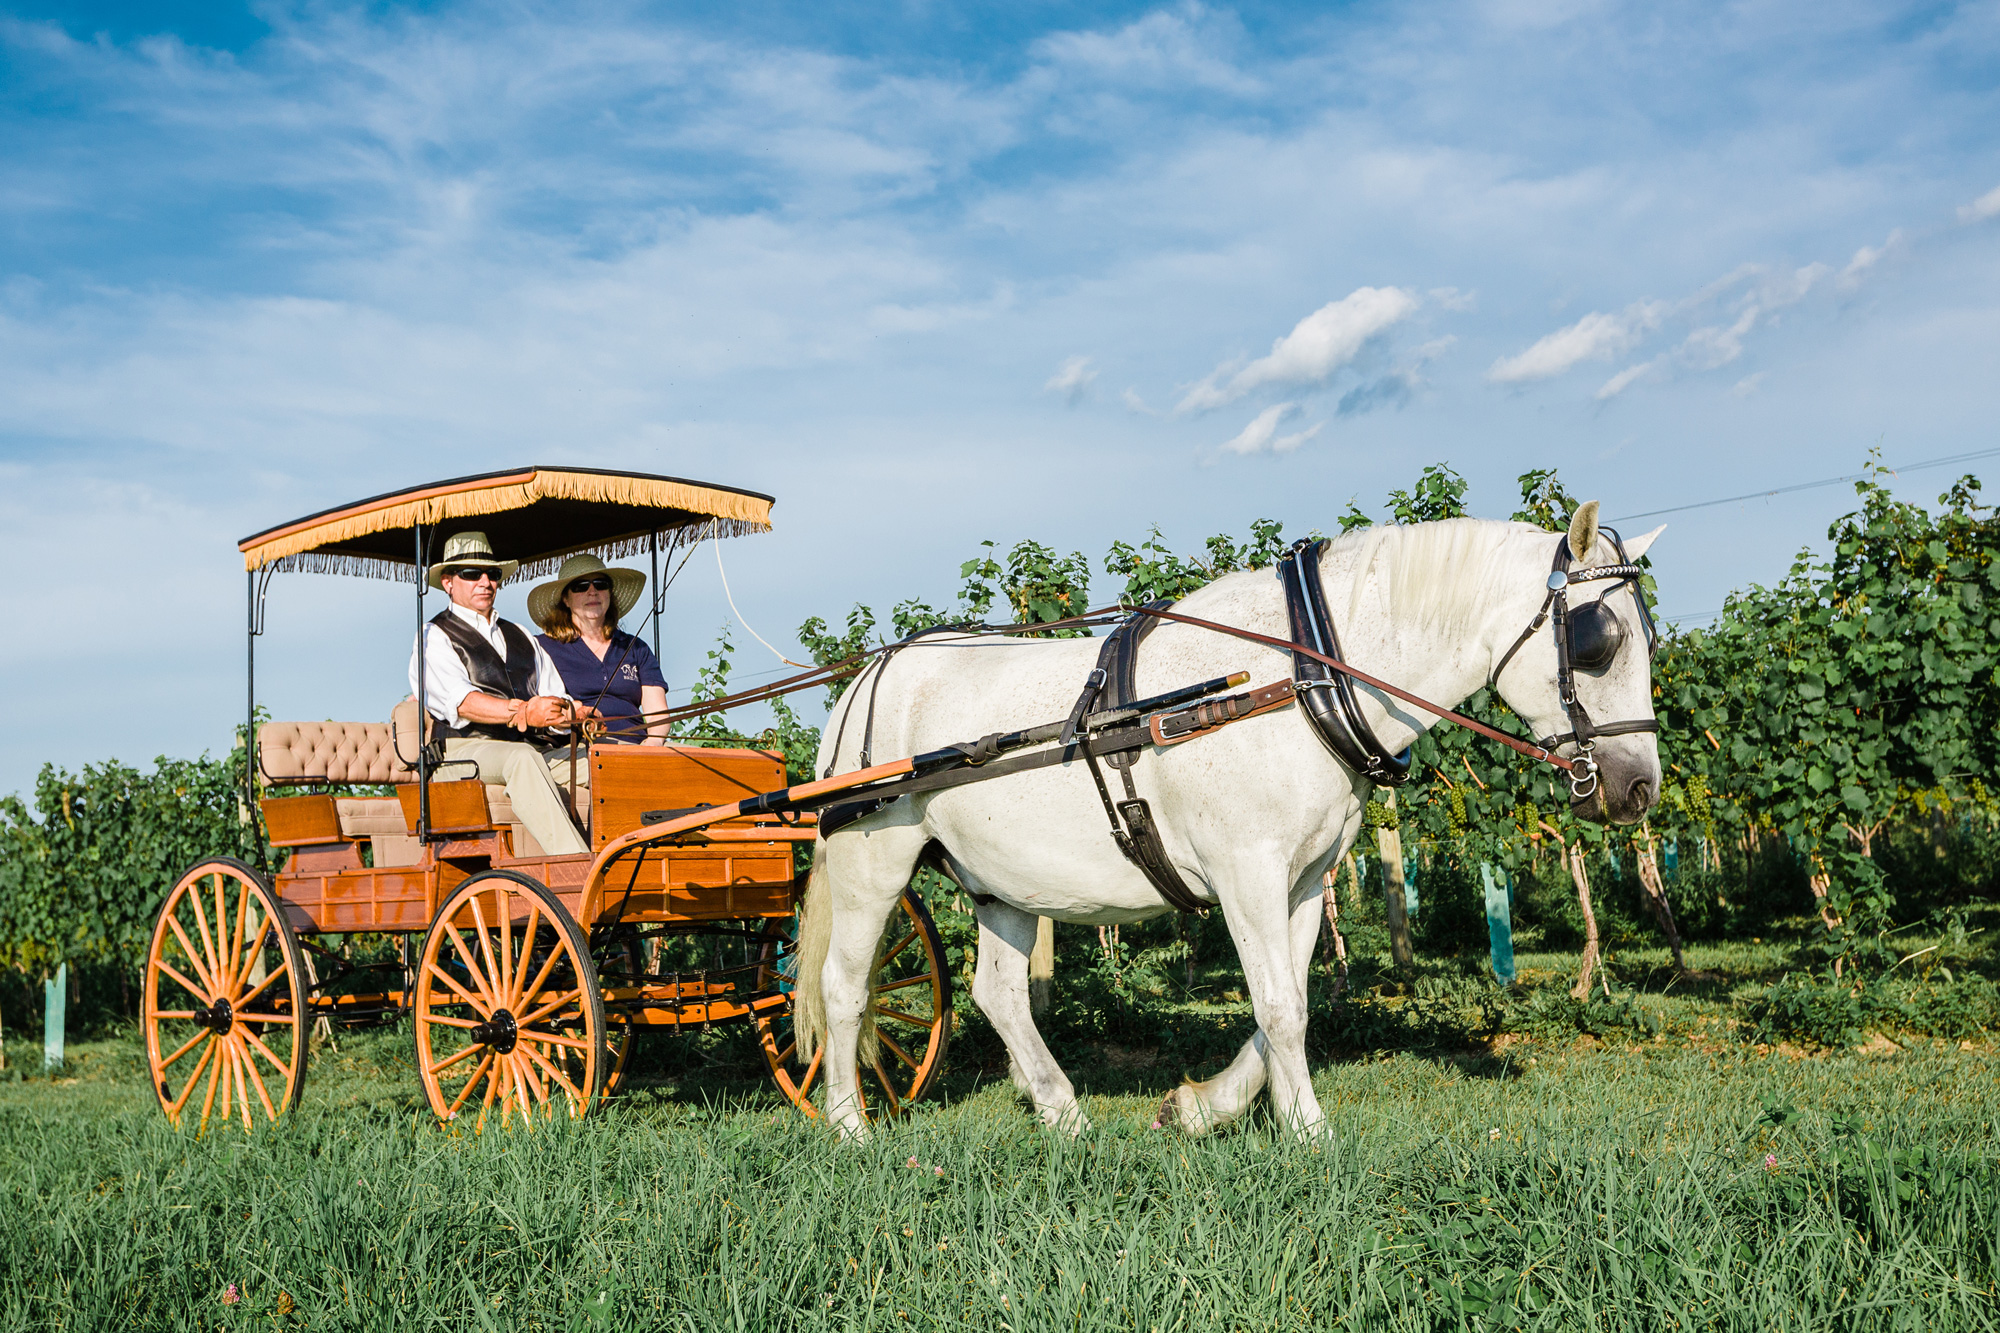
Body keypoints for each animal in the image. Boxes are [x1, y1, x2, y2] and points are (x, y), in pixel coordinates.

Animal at [792, 504, 1656, 1136]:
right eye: (1599, 641)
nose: (1639, 786)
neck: (1299, 673)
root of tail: (863, 679)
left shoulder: (1303, 878)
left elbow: (1289, 1000)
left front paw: (1207, 1104)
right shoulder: (1247, 870)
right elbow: (1277, 1003)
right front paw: (1309, 1130)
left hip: (1000, 880)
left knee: (998, 993)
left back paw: (1062, 1111)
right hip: (874, 861)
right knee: (845, 986)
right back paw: (850, 1126)